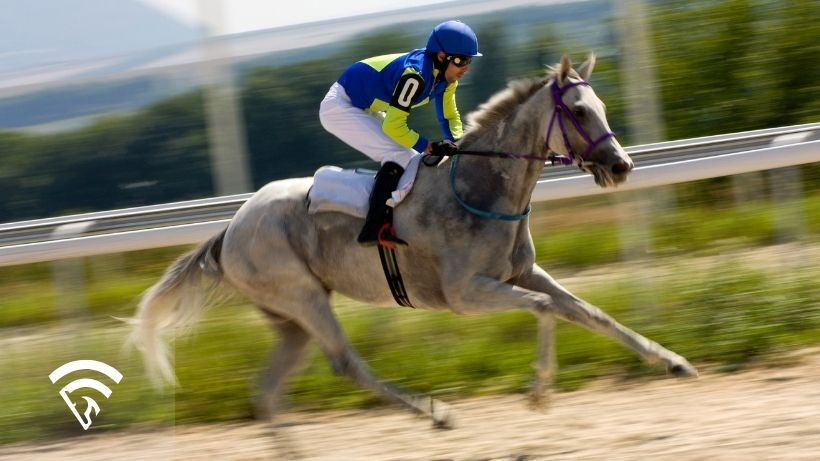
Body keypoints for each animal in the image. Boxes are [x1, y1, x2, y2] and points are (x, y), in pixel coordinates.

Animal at [129, 54, 697, 429]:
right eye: (578, 111)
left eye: (600, 104)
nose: (621, 166)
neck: (480, 188)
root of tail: (230, 228)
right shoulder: (466, 293)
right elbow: (543, 308)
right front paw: (538, 393)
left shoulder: (521, 273)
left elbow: (587, 312)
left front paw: (673, 361)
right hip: (302, 297)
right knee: (345, 364)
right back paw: (437, 413)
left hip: (288, 318)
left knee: (267, 393)